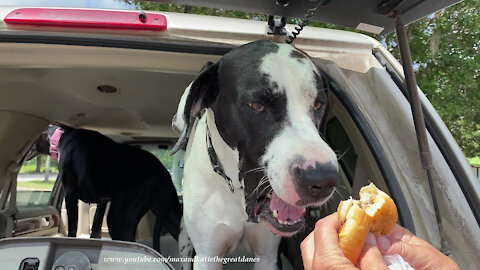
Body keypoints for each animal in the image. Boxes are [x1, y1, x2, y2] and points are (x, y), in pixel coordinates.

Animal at [27, 125, 183, 253]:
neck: (58, 137)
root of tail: (161, 171)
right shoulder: (102, 201)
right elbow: (96, 226)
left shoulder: (70, 195)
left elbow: (72, 227)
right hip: (171, 216)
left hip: (119, 217)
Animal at [172, 40, 342, 270]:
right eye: (256, 105)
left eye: (318, 104)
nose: (322, 180)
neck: (236, 193)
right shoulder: (207, 257)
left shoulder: (267, 256)